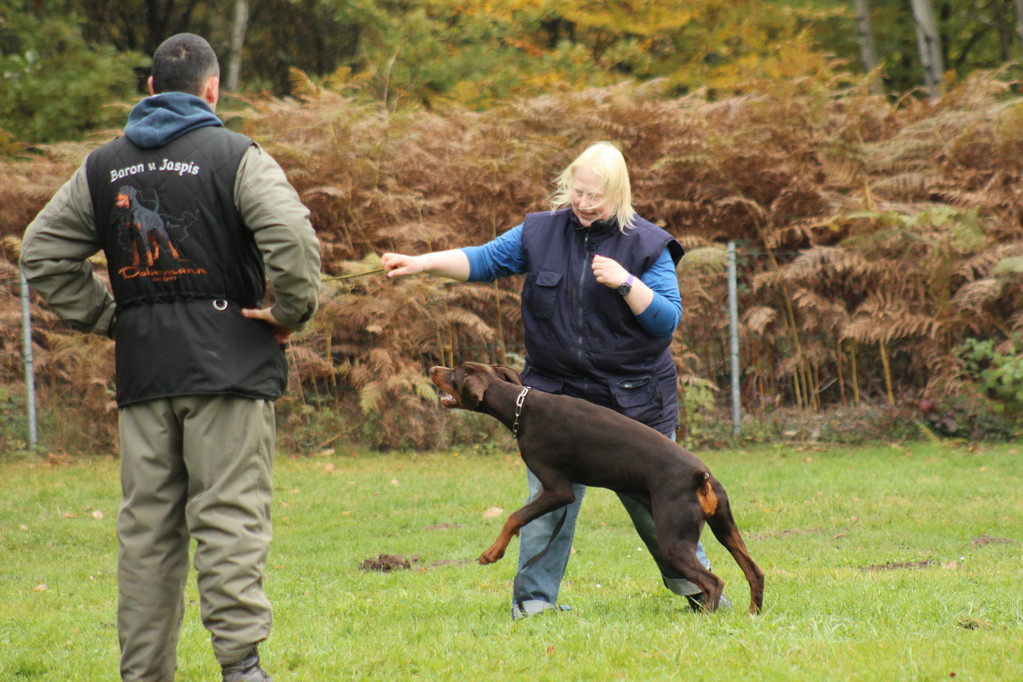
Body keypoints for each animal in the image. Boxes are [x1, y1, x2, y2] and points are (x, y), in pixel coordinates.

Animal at [427, 361, 765, 613]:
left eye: (453, 373)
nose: (432, 367)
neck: (520, 405)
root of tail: (701, 475)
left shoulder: (558, 489)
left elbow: (514, 516)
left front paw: (492, 553)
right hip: (724, 526)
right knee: (754, 572)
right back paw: (752, 614)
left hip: (674, 540)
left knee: (713, 582)